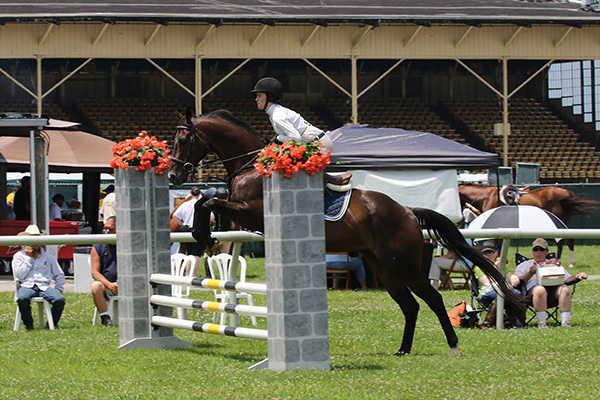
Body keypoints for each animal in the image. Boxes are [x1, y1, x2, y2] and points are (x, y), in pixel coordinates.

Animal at [168, 109, 520, 356]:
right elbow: (209, 200)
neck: (252, 165)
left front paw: (203, 235)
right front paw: (203, 234)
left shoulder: (251, 211)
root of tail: (407, 211)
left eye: (183, 140)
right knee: (410, 305)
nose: (172, 176)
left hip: (403, 264)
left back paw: (452, 343)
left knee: (431, 298)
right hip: (383, 267)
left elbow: (209, 201)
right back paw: (403, 350)